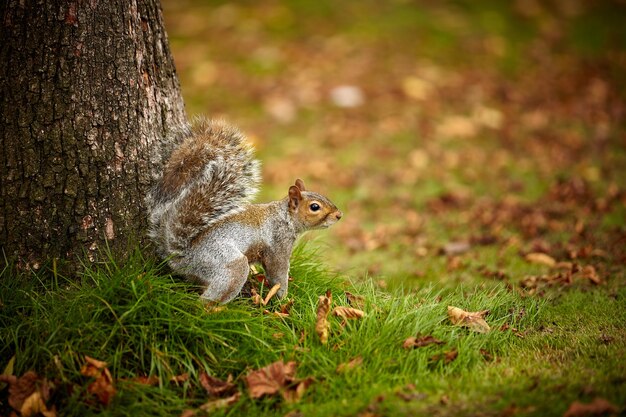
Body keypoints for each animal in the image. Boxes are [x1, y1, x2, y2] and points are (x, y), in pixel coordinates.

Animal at [146, 118, 342, 304]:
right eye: (314, 207)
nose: (339, 215)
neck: (284, 217)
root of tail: (184, 257)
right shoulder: (278, 245)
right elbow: (278, 273)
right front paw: (284, 299)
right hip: (229, 265)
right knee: (206, 299)